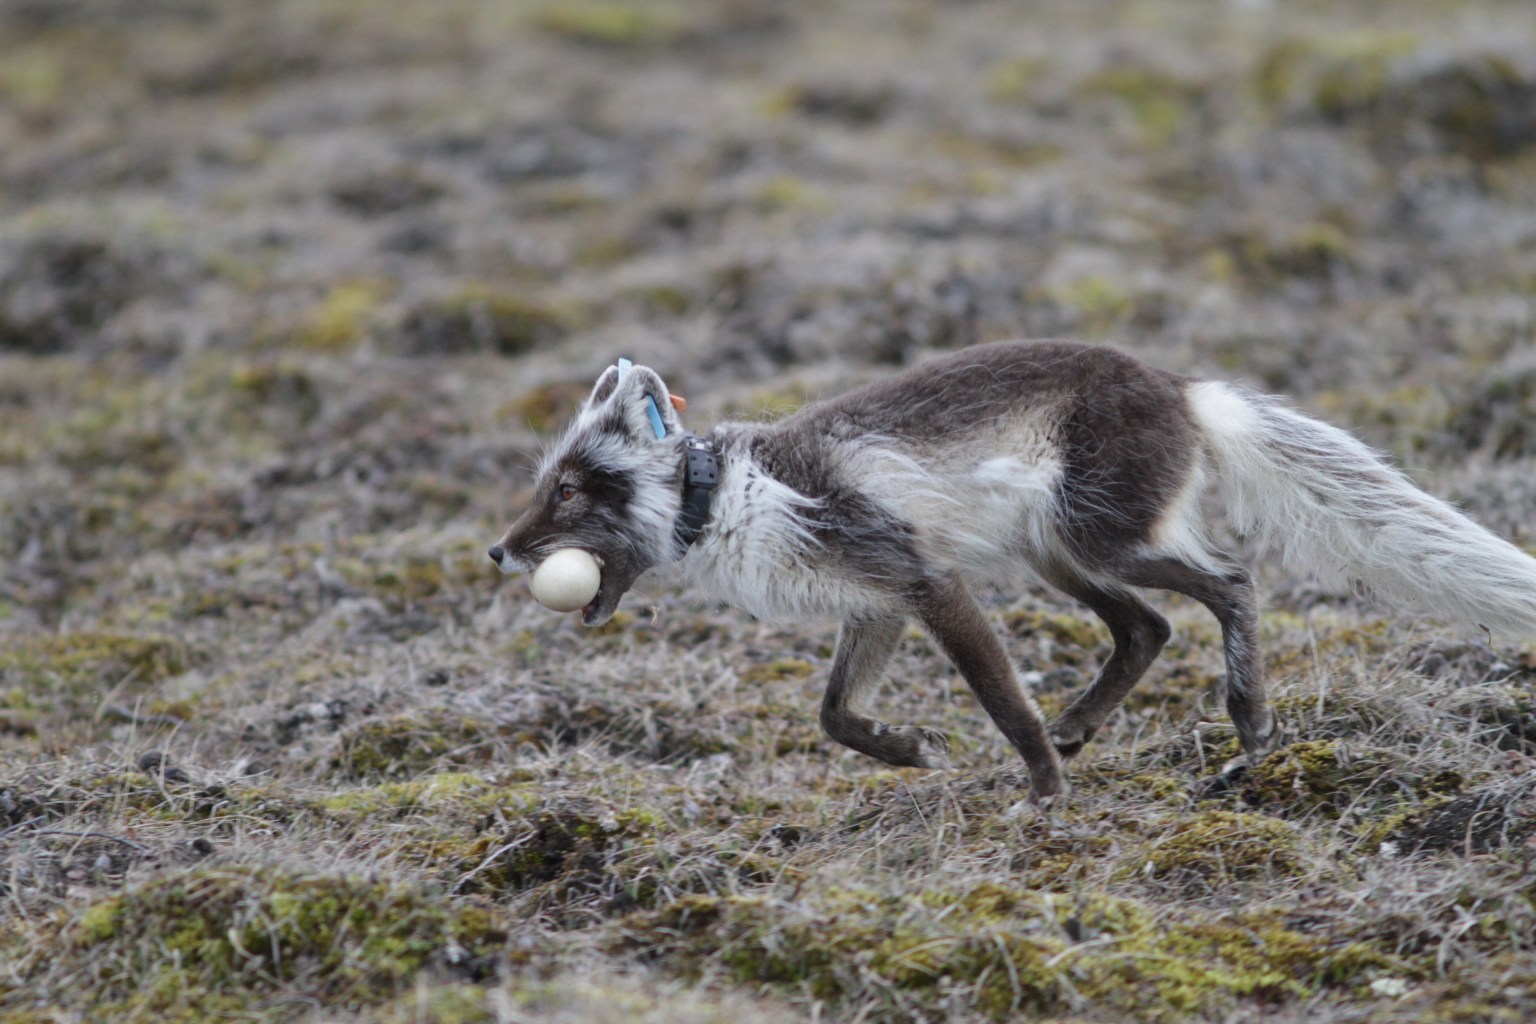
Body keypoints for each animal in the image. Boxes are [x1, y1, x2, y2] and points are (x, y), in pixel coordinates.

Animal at [488, 340, 1536, 804]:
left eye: (572, 491)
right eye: (545, 487)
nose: (497, 551)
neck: (736, 493)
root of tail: (1183, 385)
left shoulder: (923, 582)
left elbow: (1000, 699)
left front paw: (1042, 790)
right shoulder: (874, 604)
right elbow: (832, 716)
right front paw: (908, 750)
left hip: (1096, 536)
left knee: (1232, 585)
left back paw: (1247, 727)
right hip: (1058, 554)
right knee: (1148, 626)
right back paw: (1088, 725)